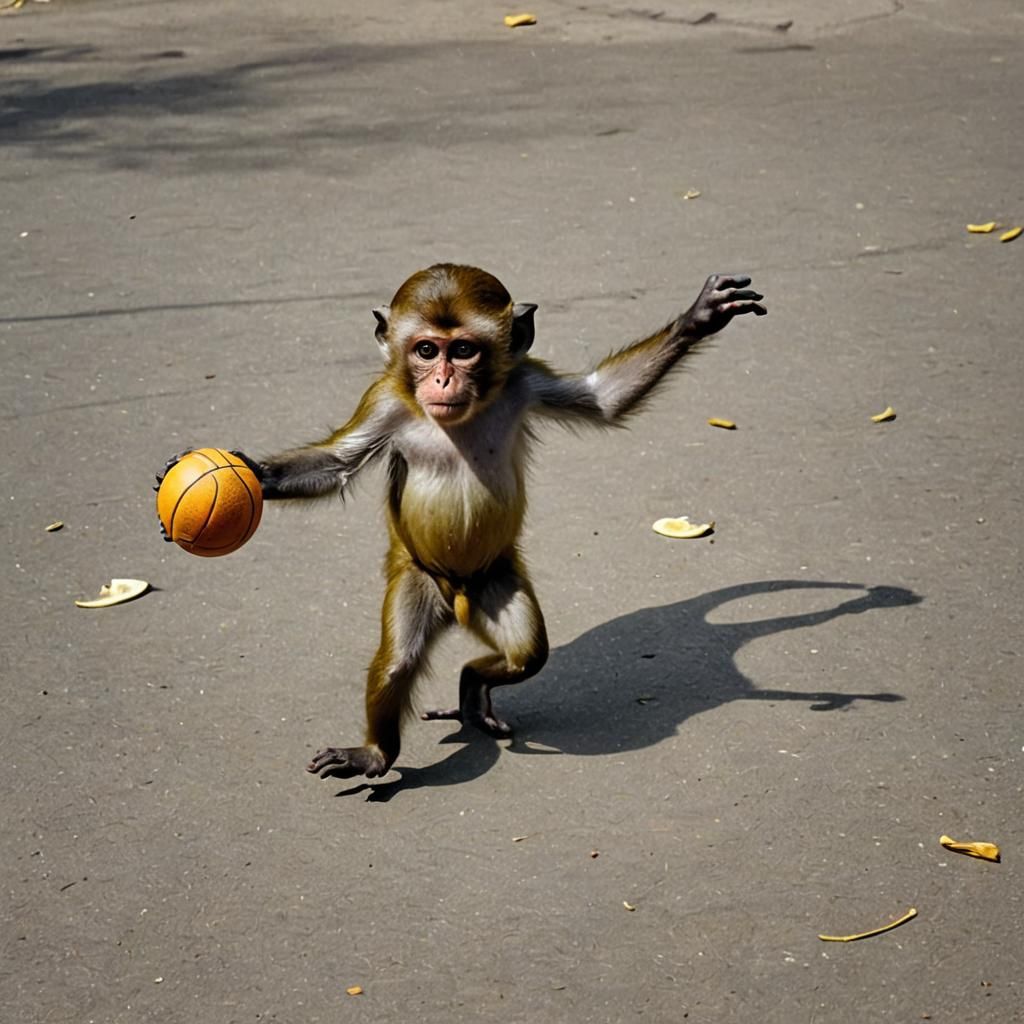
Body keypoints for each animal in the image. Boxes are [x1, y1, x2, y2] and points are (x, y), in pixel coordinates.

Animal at [160, 265, 765, 780]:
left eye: (465, 350)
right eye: (426, 350)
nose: (444, 379)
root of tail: (456, 598)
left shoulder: (524, 380)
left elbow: (603, 400)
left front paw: (700, 316)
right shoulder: (385, 398)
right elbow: (335, 465)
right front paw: (256, 475)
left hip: (496, 580)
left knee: (525, 654)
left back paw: (472, 687)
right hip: (417, 578)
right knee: (398, 662)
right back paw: (376, 753)